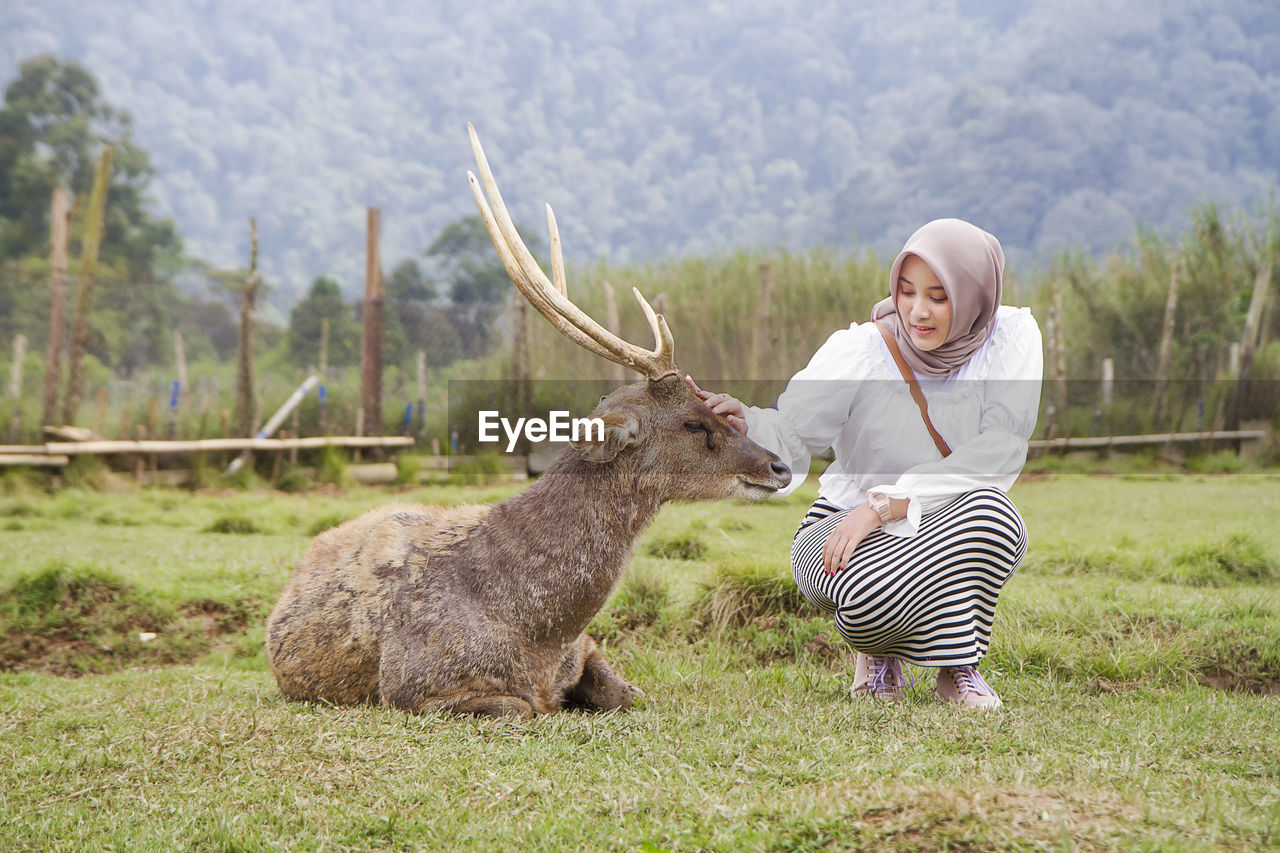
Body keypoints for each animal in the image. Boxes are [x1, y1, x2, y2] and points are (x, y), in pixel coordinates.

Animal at [262, 122, 788, 712]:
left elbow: (628, 694)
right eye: (693, 423)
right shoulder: (414, 688)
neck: (540, 629)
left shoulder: (587, 648)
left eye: (711, 406)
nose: (779, 466)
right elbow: (525, 709)